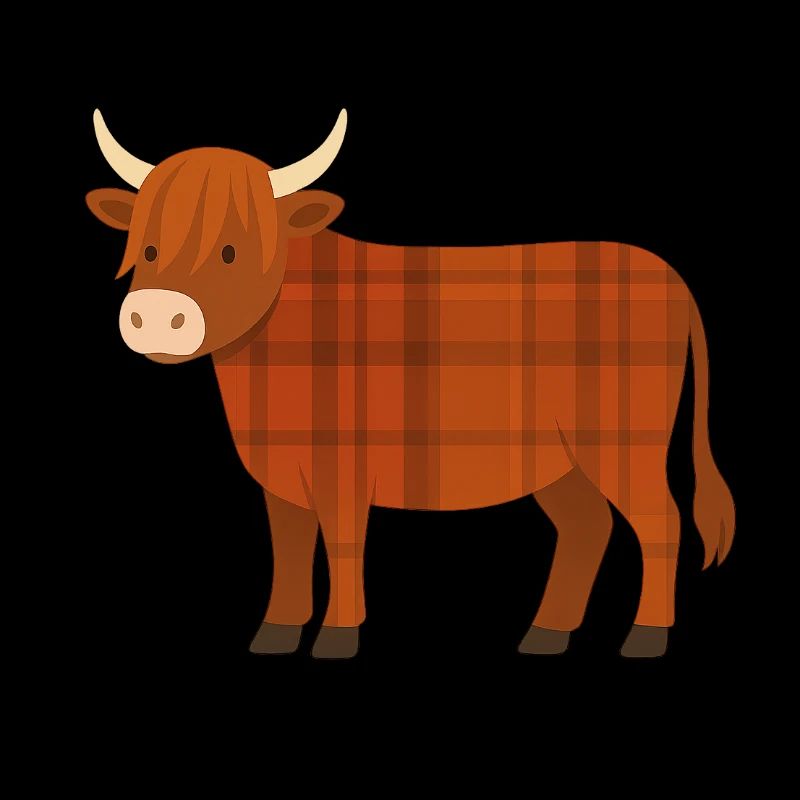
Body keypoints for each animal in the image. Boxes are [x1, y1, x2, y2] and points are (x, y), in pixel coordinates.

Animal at [87, 108, 735, 659]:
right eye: (148, 247)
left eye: (229, 250)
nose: (154, 316)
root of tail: (666, 274)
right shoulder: (280, 478)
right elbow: (290, 548)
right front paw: (276, 632)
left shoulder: (343, 473)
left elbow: (343, 545)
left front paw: (336, 637)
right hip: (560, 459)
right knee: (587, 526)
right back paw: (547, 634)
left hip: (624, 445)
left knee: (662, 521)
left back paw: (646, 636)